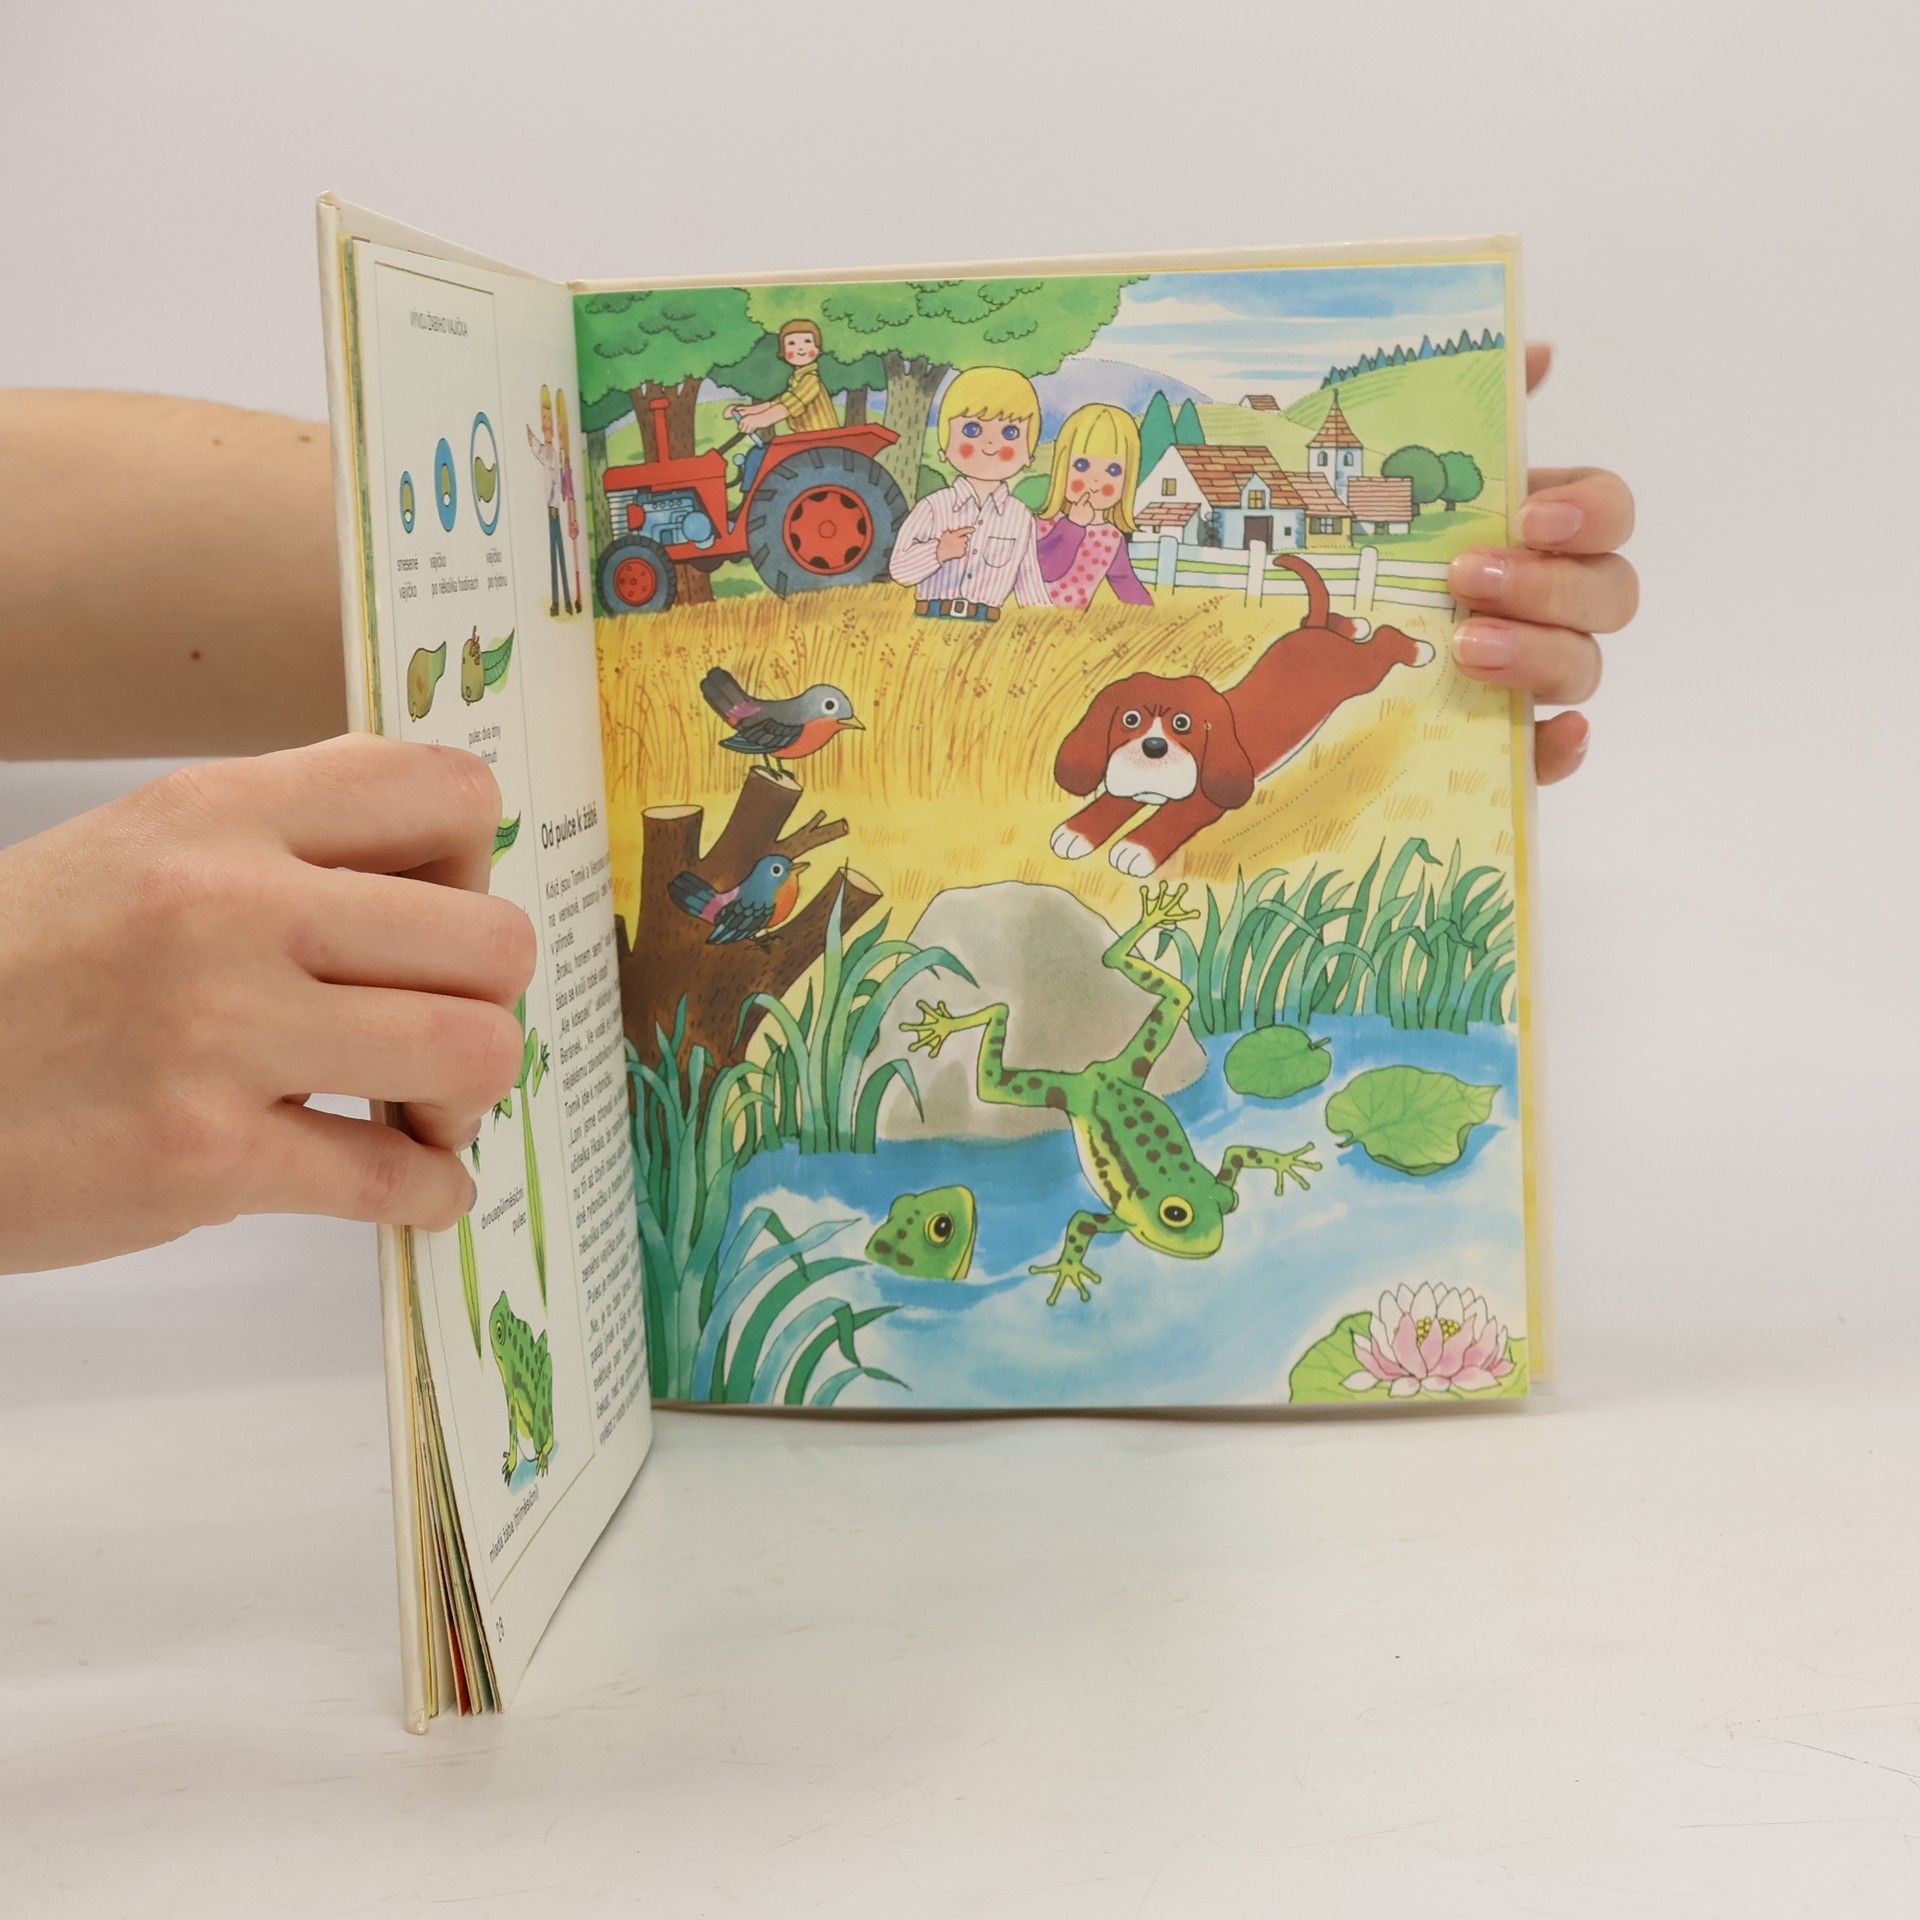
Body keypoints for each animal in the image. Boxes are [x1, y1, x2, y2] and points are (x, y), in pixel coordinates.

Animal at [1050, 553, 1435, 876]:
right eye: (1129, 719)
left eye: (1183, 724)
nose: (1153, 748)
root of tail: (1314, 636)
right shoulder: (1126, 783)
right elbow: (1109, 801)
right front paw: (1075, 830)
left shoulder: (1203, 801)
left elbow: (1171, 817)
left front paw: (1135, 848)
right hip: (1326, 640)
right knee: (1331, 622)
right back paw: (1354, 623)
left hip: (1359, 674)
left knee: (1383, 643)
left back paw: (1418, 649)